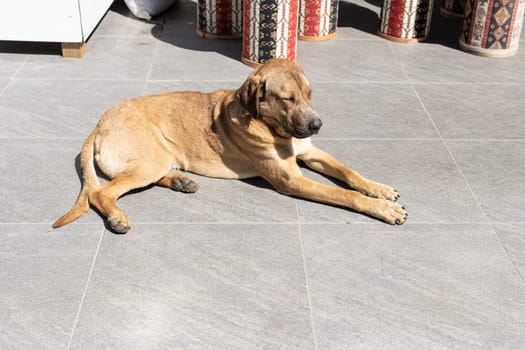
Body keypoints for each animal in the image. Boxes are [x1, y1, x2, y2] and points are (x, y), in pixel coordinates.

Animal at [52, 59, 406, 232]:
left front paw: (379, 189)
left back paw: (180, 181)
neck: (271, 125)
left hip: (158, 158)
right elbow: (345, 194)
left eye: (309, 94)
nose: (317, 125)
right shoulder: (291, 179)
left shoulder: (311, 152)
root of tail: (98, 124)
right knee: (101, 193)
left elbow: (349, 174)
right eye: (287, 98)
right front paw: (383, 209)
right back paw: (117, 218)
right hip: (150, 159)